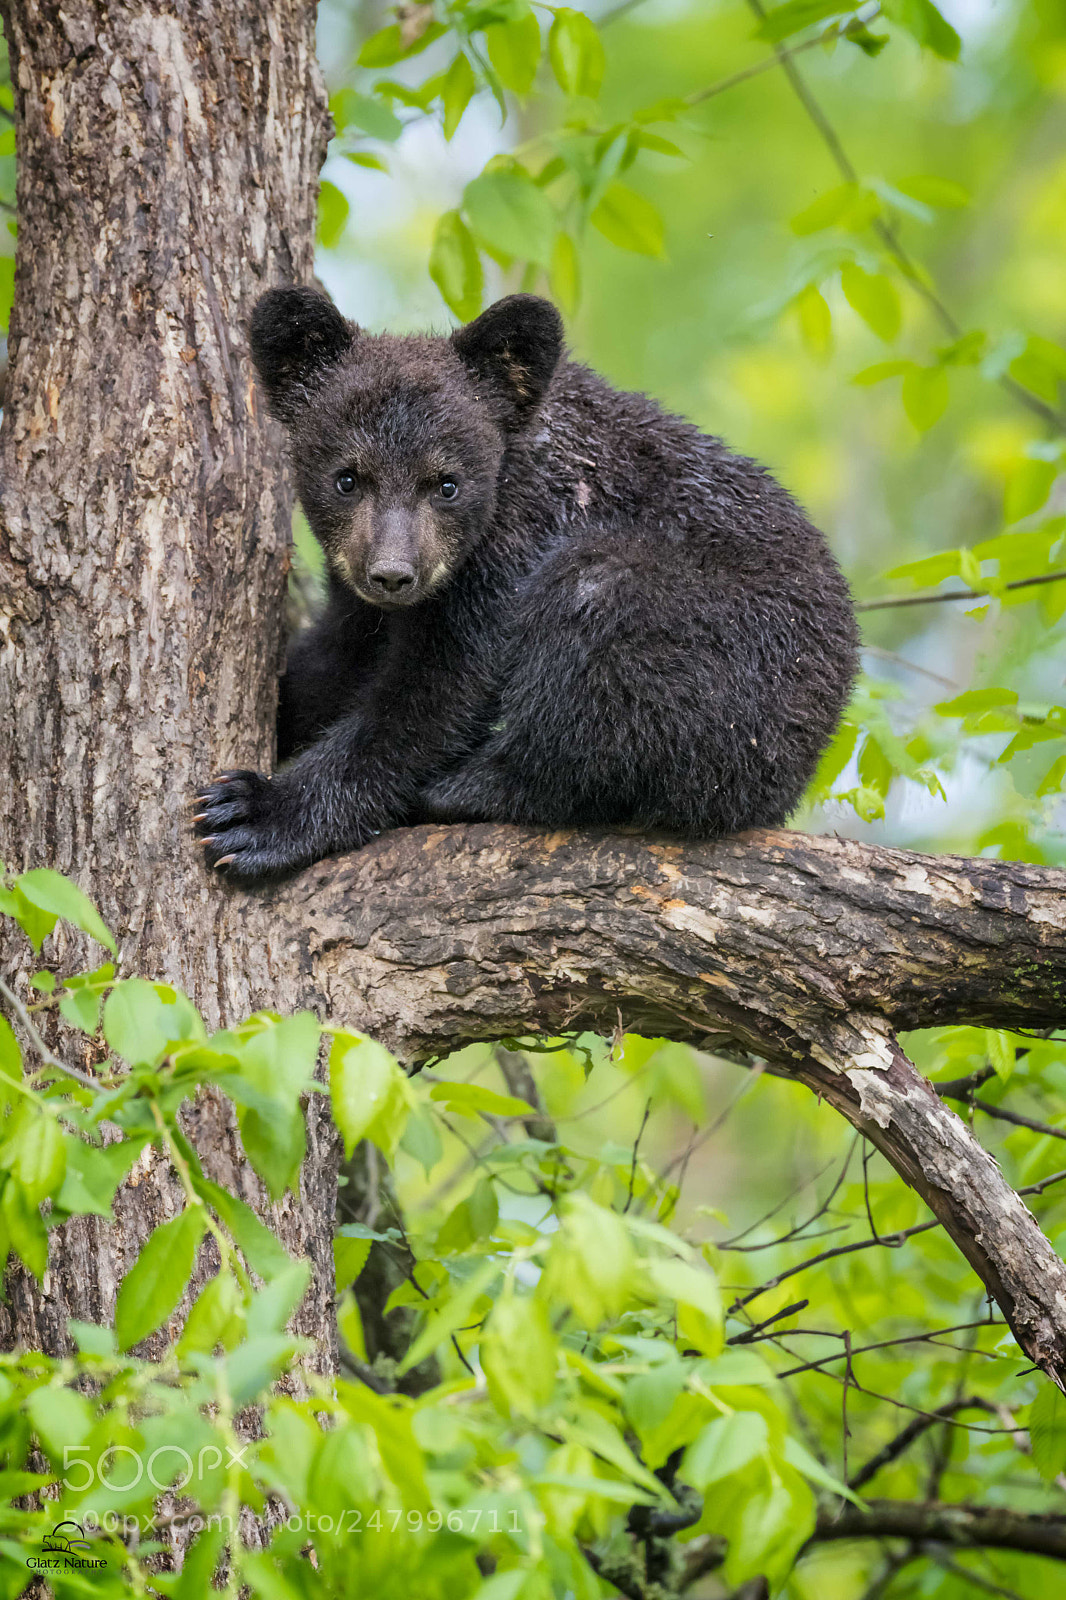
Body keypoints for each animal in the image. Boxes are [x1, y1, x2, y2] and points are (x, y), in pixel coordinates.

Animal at [193, 286, 859, 880]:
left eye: (447, 482)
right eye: (348, 478)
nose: (393, 573)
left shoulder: (514, 546)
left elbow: (436, 693)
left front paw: (257, 814)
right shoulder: (361, 596)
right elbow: (341, 655)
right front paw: (285, 707)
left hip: (730, 662)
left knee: (597, 623)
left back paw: (467, 787)